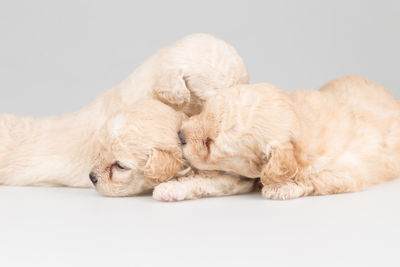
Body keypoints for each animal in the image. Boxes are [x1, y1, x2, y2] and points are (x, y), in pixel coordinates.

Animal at [160, 76, 400, 200]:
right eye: (203, 111)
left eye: (210, 143)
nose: (180, 134)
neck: (301, 120)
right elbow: (208, 181)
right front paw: (170, 188)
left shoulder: (348, 173)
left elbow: (312, 178)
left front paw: (280, 188)